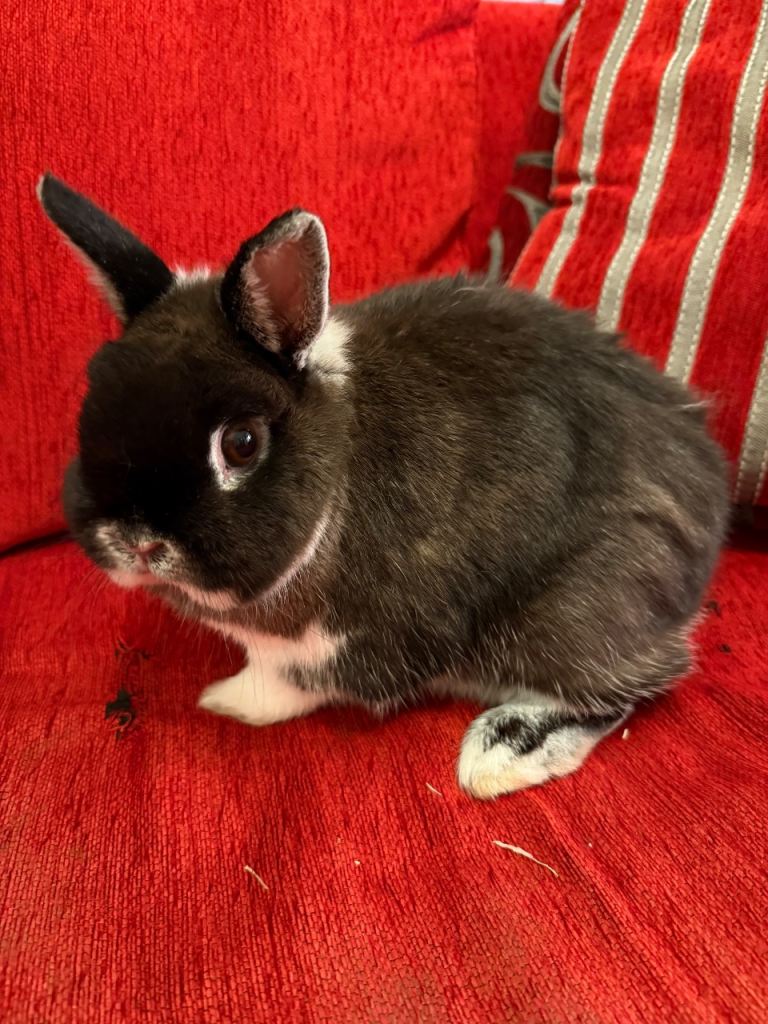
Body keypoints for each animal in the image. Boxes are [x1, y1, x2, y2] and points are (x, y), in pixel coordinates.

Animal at [38, 173, 729, 799]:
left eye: (241, 444)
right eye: (92, 406)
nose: (138, 541)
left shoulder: (344, 646)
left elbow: (288, 682)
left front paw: (226, 701)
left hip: (572, 615)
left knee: (627, 686)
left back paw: (499, 754)